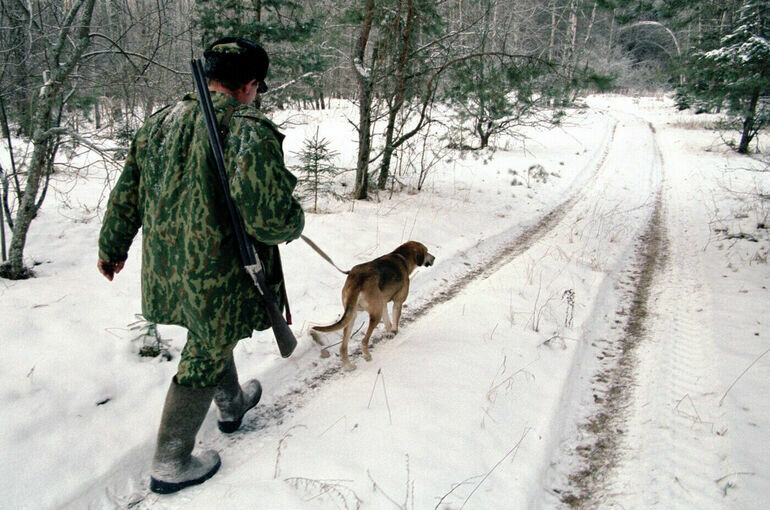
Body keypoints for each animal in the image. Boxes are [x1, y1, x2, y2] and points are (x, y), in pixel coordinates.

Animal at [310, 241, 432, 372]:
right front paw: (394, 332)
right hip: (375, 315)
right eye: (426, 251)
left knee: (343, 347)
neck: (402, 257)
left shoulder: (382, 303)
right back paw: (367, 355)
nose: (433, 258)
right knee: (364, 341)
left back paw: (348, 366)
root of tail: (358, 280)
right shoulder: (397, 302)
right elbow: (395, 321)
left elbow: (388, 322)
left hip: (352, 315)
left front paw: (390, 333)